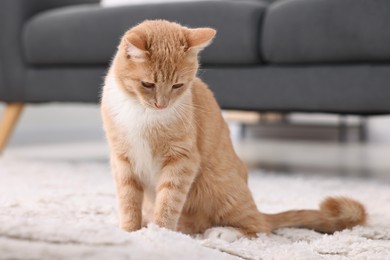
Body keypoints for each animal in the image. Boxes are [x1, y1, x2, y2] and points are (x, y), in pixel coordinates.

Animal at [100, 20, 366, 242]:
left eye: (177, 85)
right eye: (147, 84)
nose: (162, 104)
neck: (141, 113)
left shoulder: (182, 159)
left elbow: (168, 201)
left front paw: (159, 233)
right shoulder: (122, 159)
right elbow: (128, 201)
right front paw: (130, 231)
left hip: (220, 187)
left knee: (259, 226)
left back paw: (222, 232)